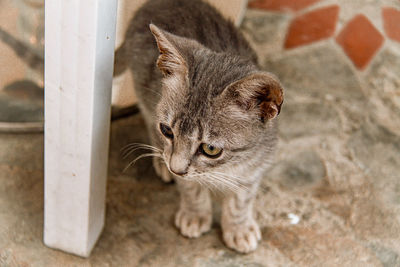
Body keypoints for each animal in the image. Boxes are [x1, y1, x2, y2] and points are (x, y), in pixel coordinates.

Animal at [117, 0, 282, 253]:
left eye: (211, 149)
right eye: (167, 130)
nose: (175, 169)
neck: (225, 168)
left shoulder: (257, 164)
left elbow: (241, 199)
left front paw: (238, 227)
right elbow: (191, 188)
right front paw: (195, 214)